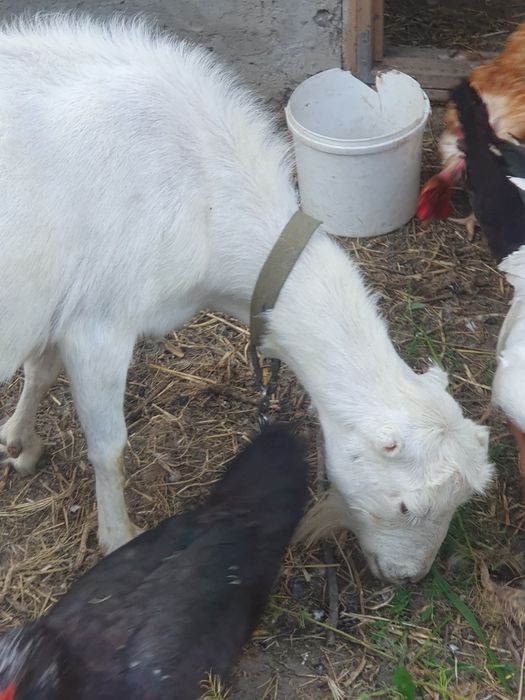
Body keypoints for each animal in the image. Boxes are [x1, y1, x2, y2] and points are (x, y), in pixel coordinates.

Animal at [0, 15, 493, 583]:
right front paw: (119, 539)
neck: (205, 192)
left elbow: (40, 369)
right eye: (408, 506)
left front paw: (19, 443)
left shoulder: (61, 305)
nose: (408, 577)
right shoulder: (99, 324)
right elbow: (109, 449)